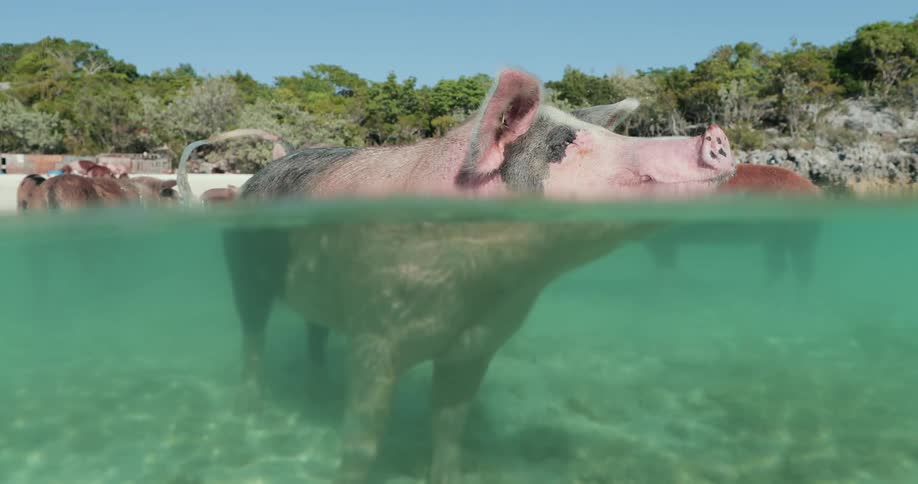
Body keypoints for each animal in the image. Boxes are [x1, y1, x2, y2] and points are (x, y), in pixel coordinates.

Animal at [177, 68, 738, 484]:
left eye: (606, 133)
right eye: (565, 143)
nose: (715, 135)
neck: (482, 286)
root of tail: (277, 159)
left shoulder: (477, 341)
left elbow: (449, 426)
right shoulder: (377, 334)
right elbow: (364, 437)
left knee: (314, 329)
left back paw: (319, 385)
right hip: (242, 262)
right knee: (253, 328)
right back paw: (252, 408)